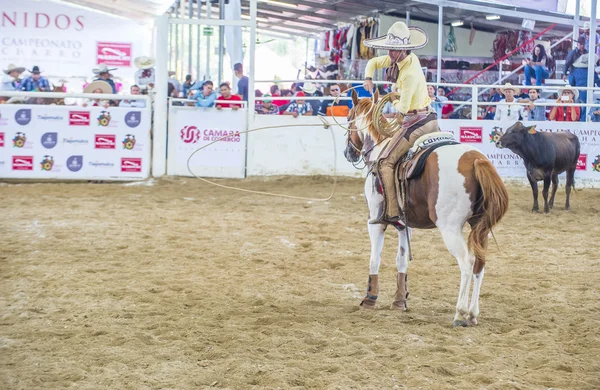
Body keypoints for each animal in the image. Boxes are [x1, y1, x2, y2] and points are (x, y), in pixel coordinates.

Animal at [344, 91, 508, 326]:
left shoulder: (374, 221)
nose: (348, 152)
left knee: (467, 262)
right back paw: (472, 313)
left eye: (349, 119)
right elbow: (402, 260)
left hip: (450, 228)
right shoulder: (404, 225)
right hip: (480, 226)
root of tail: (476, 159)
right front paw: (399, 301)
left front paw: (369, 299)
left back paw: (460, 313)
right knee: (480, 263)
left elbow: (374, 258)